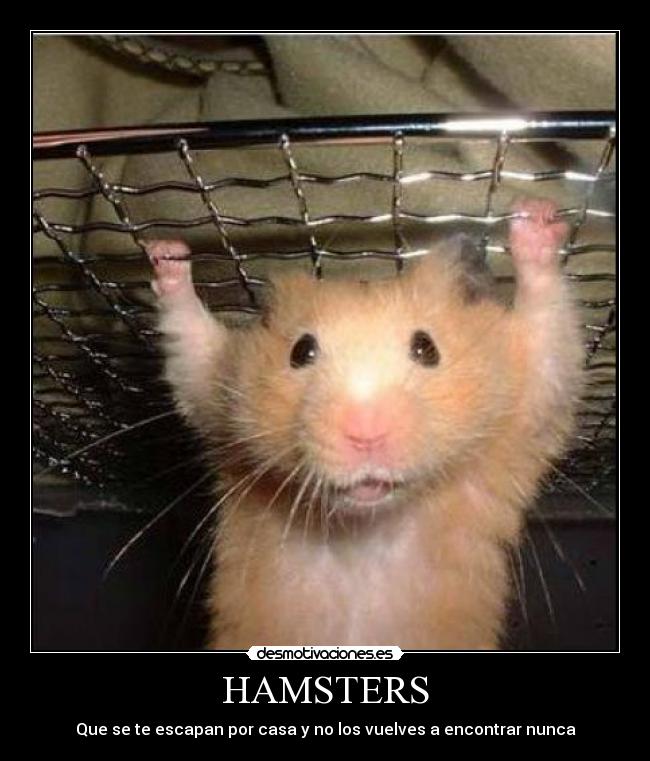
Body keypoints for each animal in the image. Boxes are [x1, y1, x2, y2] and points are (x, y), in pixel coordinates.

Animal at [145, 198, 583, 650]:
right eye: (300, 352)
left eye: (427, 348)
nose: (366, 435)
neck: (364, 527)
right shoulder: (218, 398)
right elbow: (192, 349)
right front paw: (165, 250)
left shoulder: (526, 402)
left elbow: (546, 335)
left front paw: (536, 214)